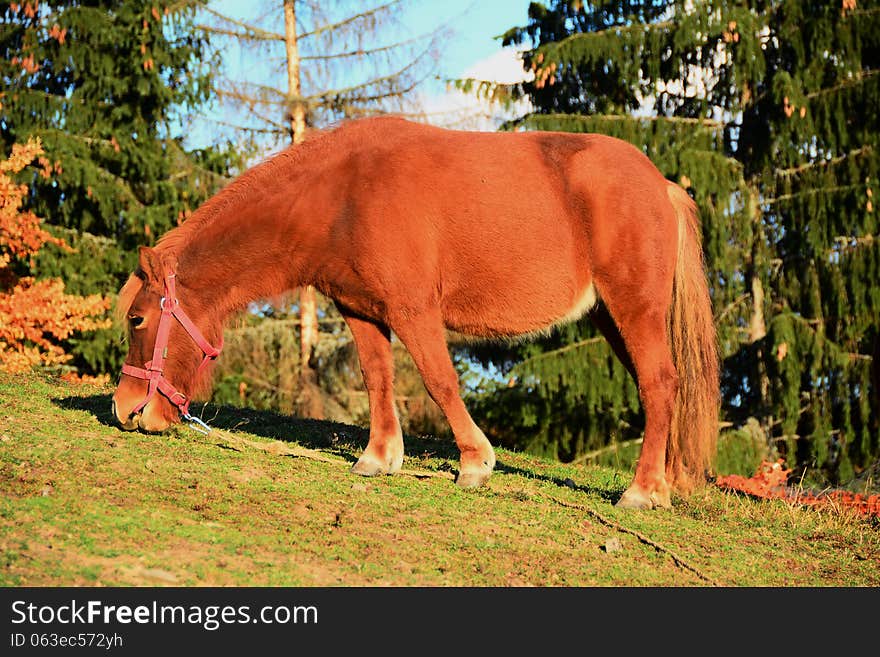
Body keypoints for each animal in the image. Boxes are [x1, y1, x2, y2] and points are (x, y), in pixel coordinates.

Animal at [110, 116, 720, 508]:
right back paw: (665, 482)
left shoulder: (413, 310)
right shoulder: (361, 312)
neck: (345, 192)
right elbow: (377, 379)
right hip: (611, 318)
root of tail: (663, 185)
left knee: (660, 383)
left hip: (633, 308)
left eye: (136, 320)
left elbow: (439, 380)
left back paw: (641, 491)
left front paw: (475, 463)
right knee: (660, 386)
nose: (125, 409)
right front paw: (379, 457)